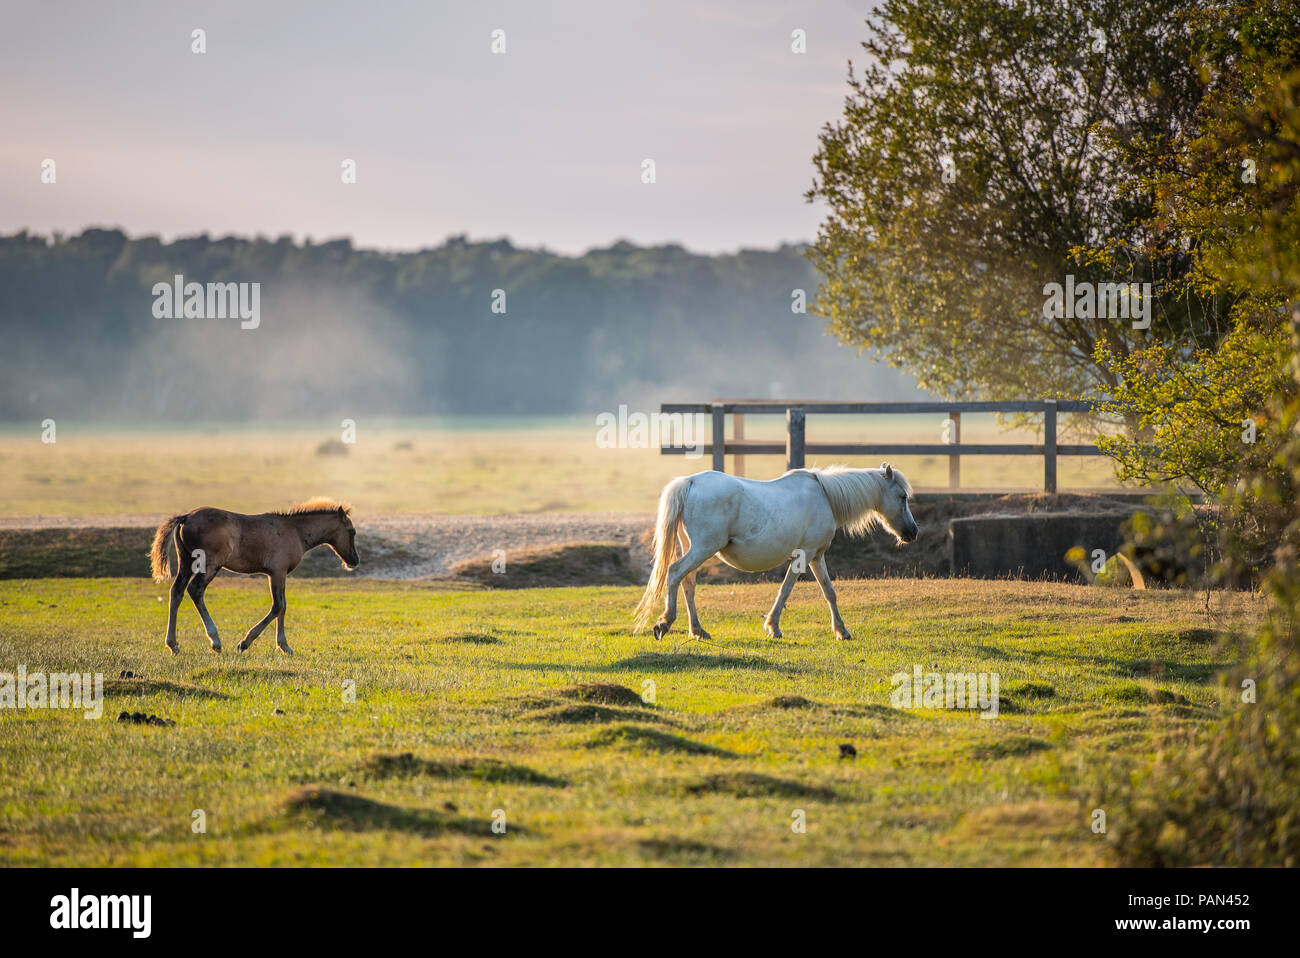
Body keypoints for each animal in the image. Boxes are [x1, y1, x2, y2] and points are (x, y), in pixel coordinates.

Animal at [634, 460, 920, 639]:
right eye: (903, 497)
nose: (912, 532)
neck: (825, 497)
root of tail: (690, 482)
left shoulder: (817, 556)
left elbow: (829, 592)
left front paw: (841, 631)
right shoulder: (805, 555)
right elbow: (785, 590)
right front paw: (773, 627)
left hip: (694, 549)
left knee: (688, 582)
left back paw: (697, 631)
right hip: (703, 548)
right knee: (674, 573)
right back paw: (665, 623)